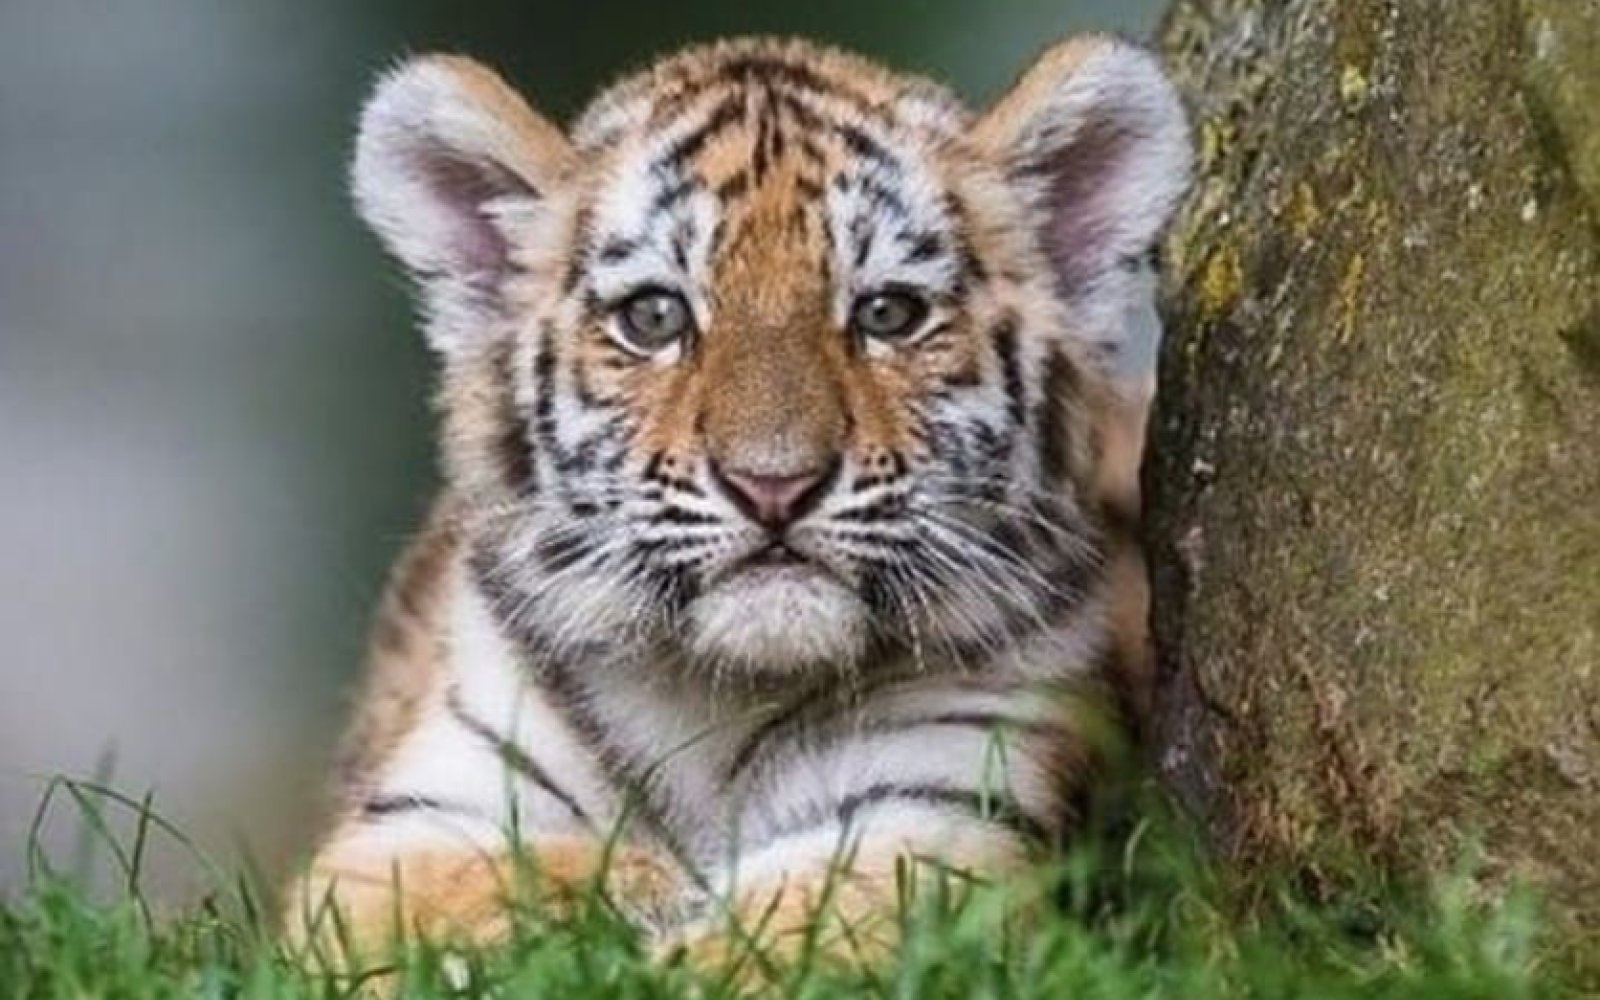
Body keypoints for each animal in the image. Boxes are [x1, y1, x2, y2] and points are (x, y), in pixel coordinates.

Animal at [285, 33, 1190, 971]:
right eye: (654, 316)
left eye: (888, 313)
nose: (774, 484)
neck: (716, 704)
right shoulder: (411, 828)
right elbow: (488, 889)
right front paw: (637, 883)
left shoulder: (940, 817)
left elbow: (770, 946)